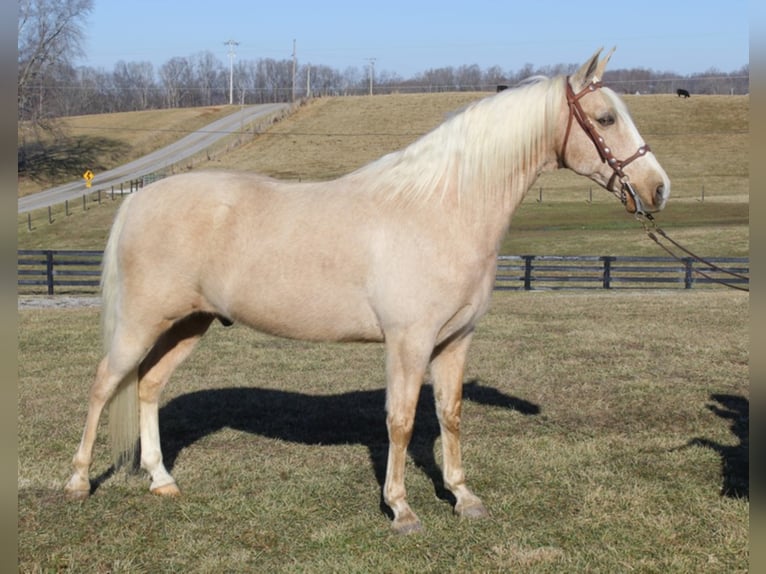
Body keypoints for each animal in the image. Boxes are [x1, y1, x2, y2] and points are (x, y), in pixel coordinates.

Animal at [66, 49, 668, 536]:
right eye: (605, 117)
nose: (658, 188)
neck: (441, 210)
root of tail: (138, 199)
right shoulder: (408, 342)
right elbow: (400, 421)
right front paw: (401, 509)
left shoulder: (454, 341)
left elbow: (449, 414)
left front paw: (463, 497)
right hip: (141, 323)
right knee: (103, 386)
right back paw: (77, 482)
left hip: (190, 323)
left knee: (148, 386)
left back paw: (161, 479)